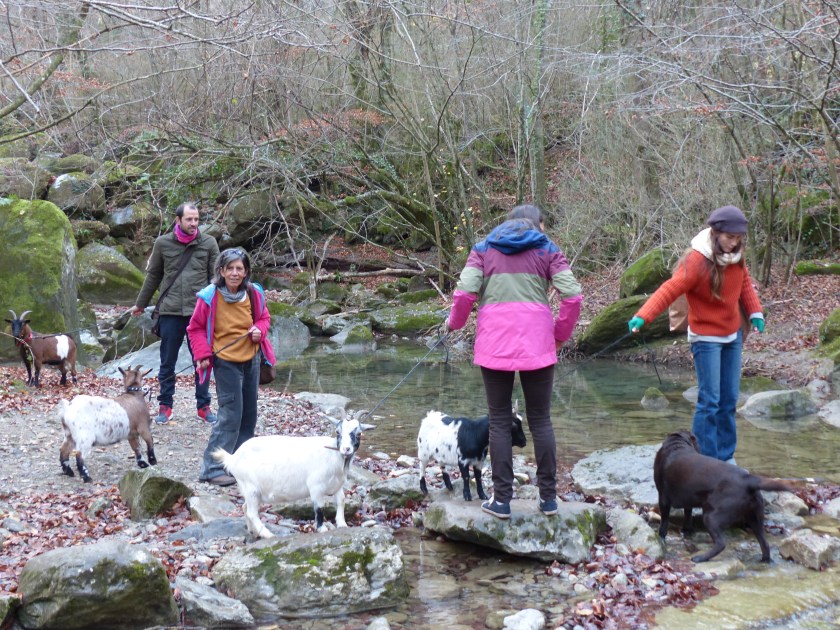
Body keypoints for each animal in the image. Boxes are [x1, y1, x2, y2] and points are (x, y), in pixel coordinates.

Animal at [212, 410, 374, 538]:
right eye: (338, 432)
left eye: (359, 433)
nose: (346, 449)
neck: (333, 455)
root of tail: (232, 458)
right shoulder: (316, 487)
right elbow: (319, 508)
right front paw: (321, 529)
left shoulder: (338, 485)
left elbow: (341, 500)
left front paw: (342, 524)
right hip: (250, 487)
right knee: (252, 512)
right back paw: (268, 534)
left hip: (250, 490)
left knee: (245, 508)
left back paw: (253, 531)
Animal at [653, 430, 797, 563]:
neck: (677, 446)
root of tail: (748, 479)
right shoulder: (688, 501)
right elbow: (687, 516)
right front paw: (687, 532)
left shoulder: (663, 498)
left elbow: (664, 522)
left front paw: (661, 538)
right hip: (755, 518)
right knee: (764, 544)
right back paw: (764, 561)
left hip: (711, 517)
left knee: (721, 543)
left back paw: (700, 558)